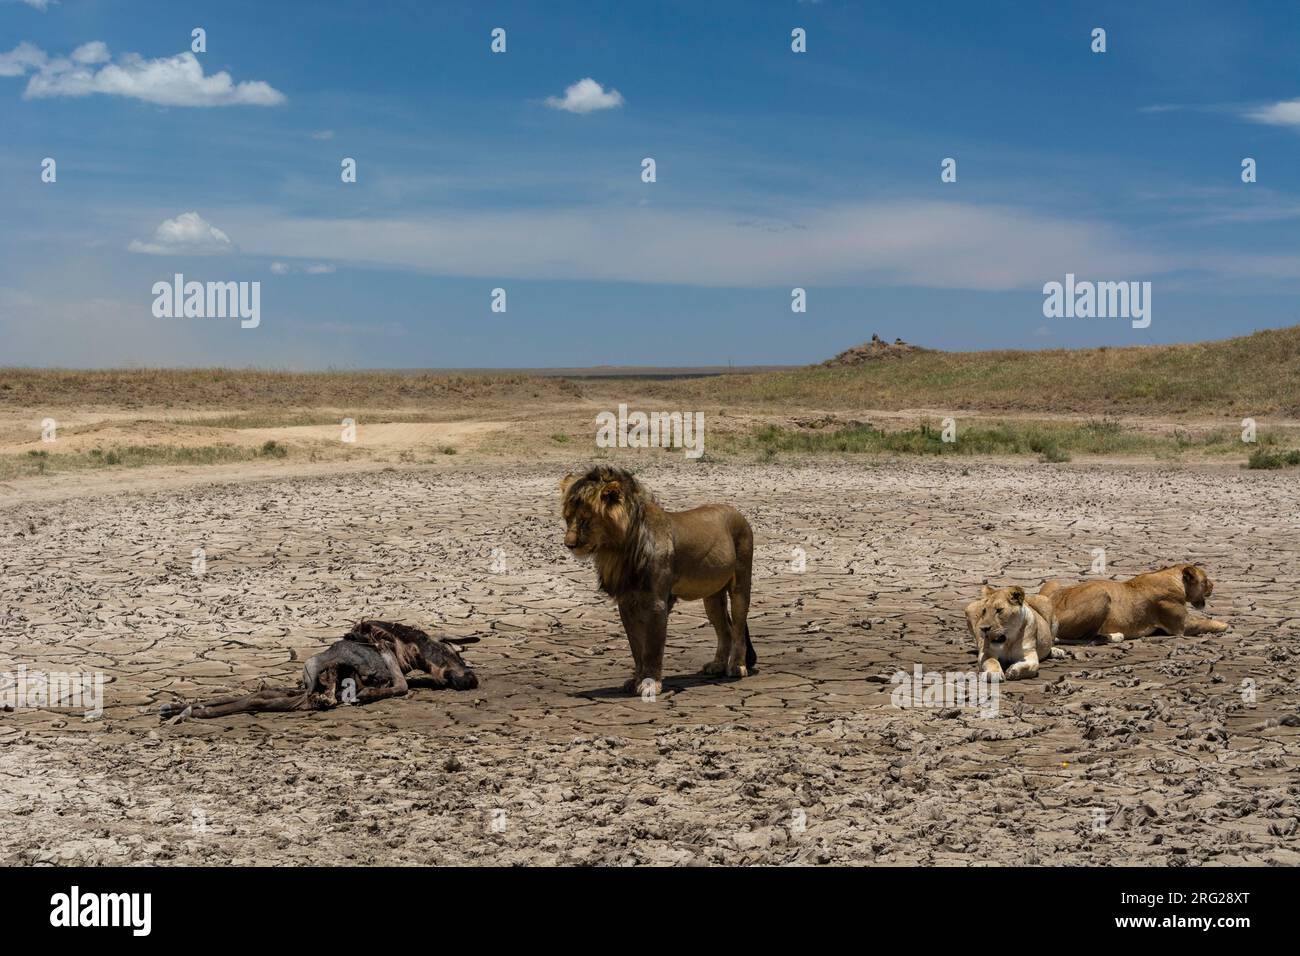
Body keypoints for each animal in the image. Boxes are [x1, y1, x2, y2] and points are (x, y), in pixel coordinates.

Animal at [556, 465, 759, 697]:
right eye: (567, 518)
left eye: (585, 519)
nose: (568, 544)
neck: (618, 551)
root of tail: (738, 513)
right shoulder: (627, 603)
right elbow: (637, 646)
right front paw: (636, 680)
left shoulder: (657, 603)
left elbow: (652, 647)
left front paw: (649, 683)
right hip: (712, 596)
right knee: (724, 628)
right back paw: (717, 665)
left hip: (741, 582)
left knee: (738, 626)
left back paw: (736, 666)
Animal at [1034, 561, 1227, 642]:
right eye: (1205, 581)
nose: (1213, 585)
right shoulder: (1180, 626)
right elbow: (1204, 622)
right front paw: (1224, 625)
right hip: (1101, 593)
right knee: (1080, 637)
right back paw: (1114, 636)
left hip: (1053, 582)